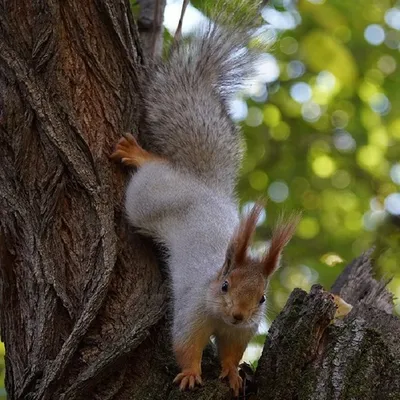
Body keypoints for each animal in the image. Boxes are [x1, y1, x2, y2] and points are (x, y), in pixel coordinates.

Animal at [111, 1, 298, 396]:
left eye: (262, 297)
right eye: (225, 285)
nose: (238, 314)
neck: (219, 312)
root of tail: (203, 184)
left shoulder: (242, 332)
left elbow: (231, 352)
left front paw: (231, 374)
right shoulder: (192, 311)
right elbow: (186, 343)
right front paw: (191, 373)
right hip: (147, 198)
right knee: (153, 171)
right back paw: (138, 155)